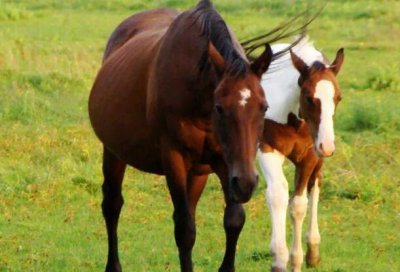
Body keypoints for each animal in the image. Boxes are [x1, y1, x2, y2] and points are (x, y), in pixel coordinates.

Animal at [89, 1, 274, 270]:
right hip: (113, 152)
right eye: (220, 107)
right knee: (112, 204)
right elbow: (185, 230)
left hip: (198, 173)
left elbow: (234, 219)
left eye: (264, 107)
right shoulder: (174, 157)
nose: (247, 183)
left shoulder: (225, 162)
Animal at [260, 38, 344, 272]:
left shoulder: (309, 157)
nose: (328, 146)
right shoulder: (267, 148)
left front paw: (295, 259)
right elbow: (277, 194)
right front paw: (279, 258)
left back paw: (313, 250)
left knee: (315, 184)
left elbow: (298, 205)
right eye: (309, 97)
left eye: (338, 97)